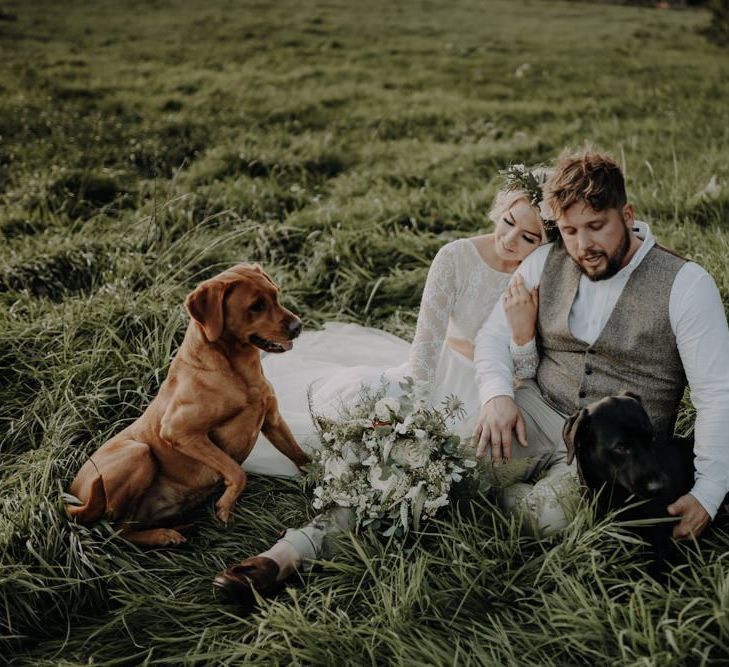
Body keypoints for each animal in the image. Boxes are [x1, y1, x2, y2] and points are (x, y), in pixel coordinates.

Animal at [63, 264, 310, 544]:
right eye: (256, 306)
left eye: (275, 295)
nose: (299, 326)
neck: (237, 370)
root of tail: (74, 496)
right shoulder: (180, 431)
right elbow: (237, 471)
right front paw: (226, 505)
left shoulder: (274, 421)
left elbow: (300, 456)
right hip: (138, 452)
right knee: (118, 531)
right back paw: (163, 535)